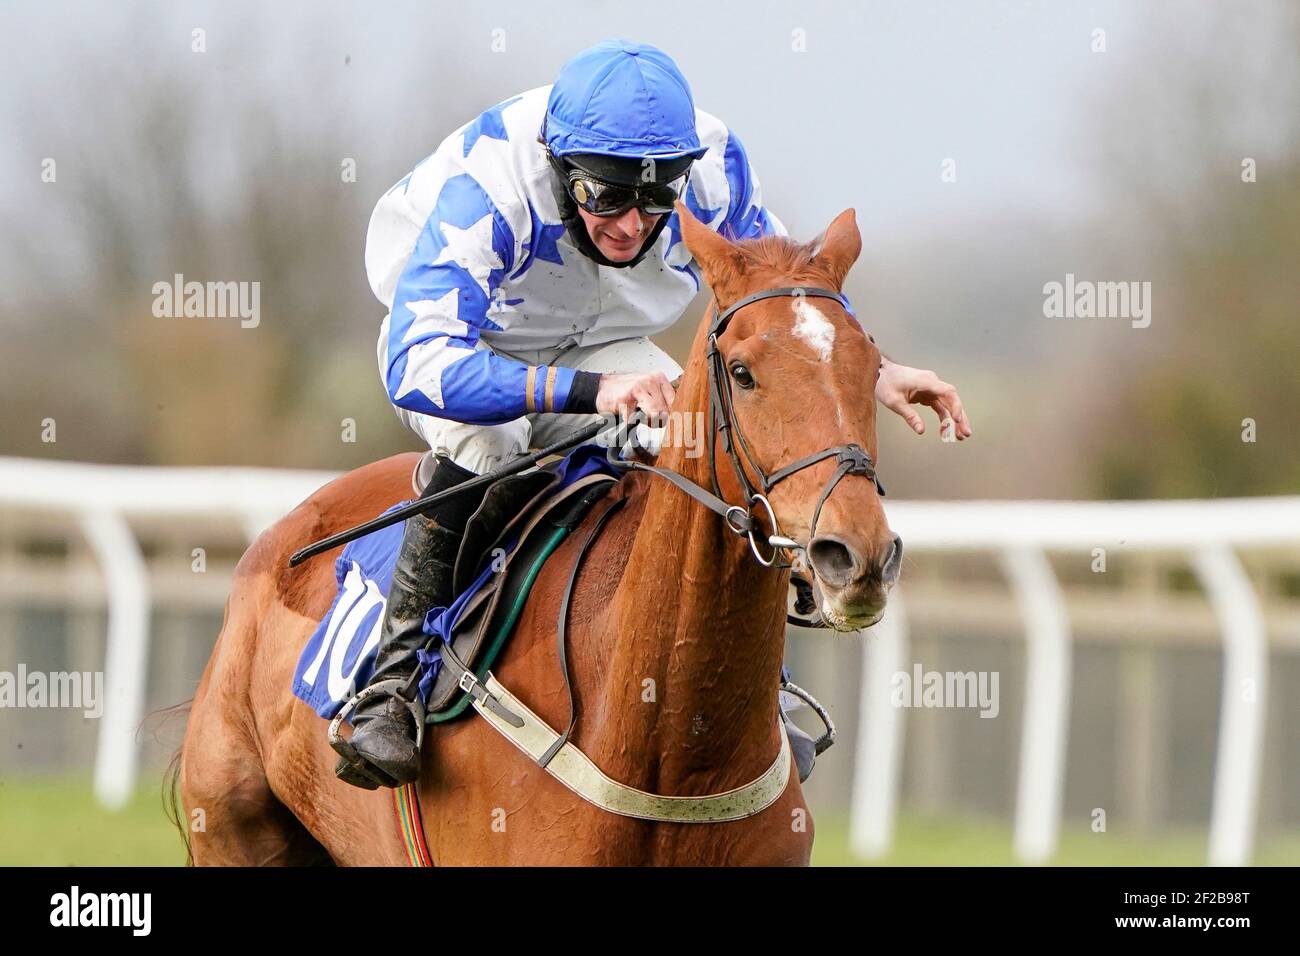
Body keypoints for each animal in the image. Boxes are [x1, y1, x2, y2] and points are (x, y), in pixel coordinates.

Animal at [178, 208, 899, 868]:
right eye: (744, 372)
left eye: (872, 365)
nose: (855, 556)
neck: (670, 741)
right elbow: (432, 347)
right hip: (233, 832)